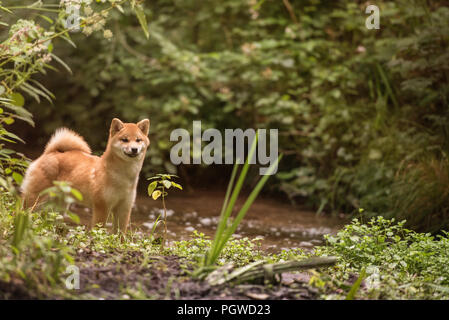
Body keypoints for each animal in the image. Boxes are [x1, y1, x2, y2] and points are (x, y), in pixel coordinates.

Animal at [21, 117, 150, 232]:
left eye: (138, 140)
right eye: (125, 140)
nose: (134, 149)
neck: (122, 177)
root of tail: (51, 152)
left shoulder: (124, 208)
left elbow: (121, 234)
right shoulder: (101, 207)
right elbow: (99, 231)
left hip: (59, 205)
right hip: (35, 198)